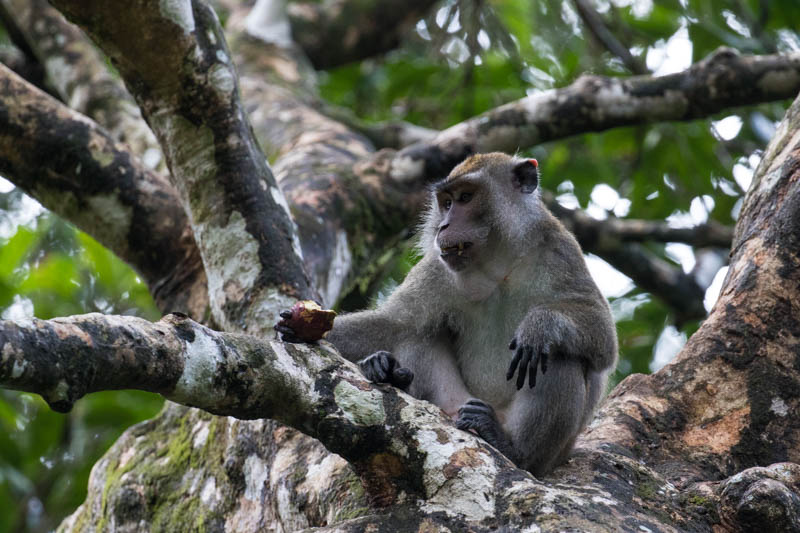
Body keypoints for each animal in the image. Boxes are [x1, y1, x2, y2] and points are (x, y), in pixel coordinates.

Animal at [276, 153, 620, 474]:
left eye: (466, 198)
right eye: (446, 203)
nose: (443, 225)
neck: (496, 264)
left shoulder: (558, 249)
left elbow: (603, 340)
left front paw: (540, 326)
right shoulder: (436, 269)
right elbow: (394, 323)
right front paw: (300, 329)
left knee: (556, 357)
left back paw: (510, 446)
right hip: (453, 402)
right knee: (417, 334)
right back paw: (388, 372)